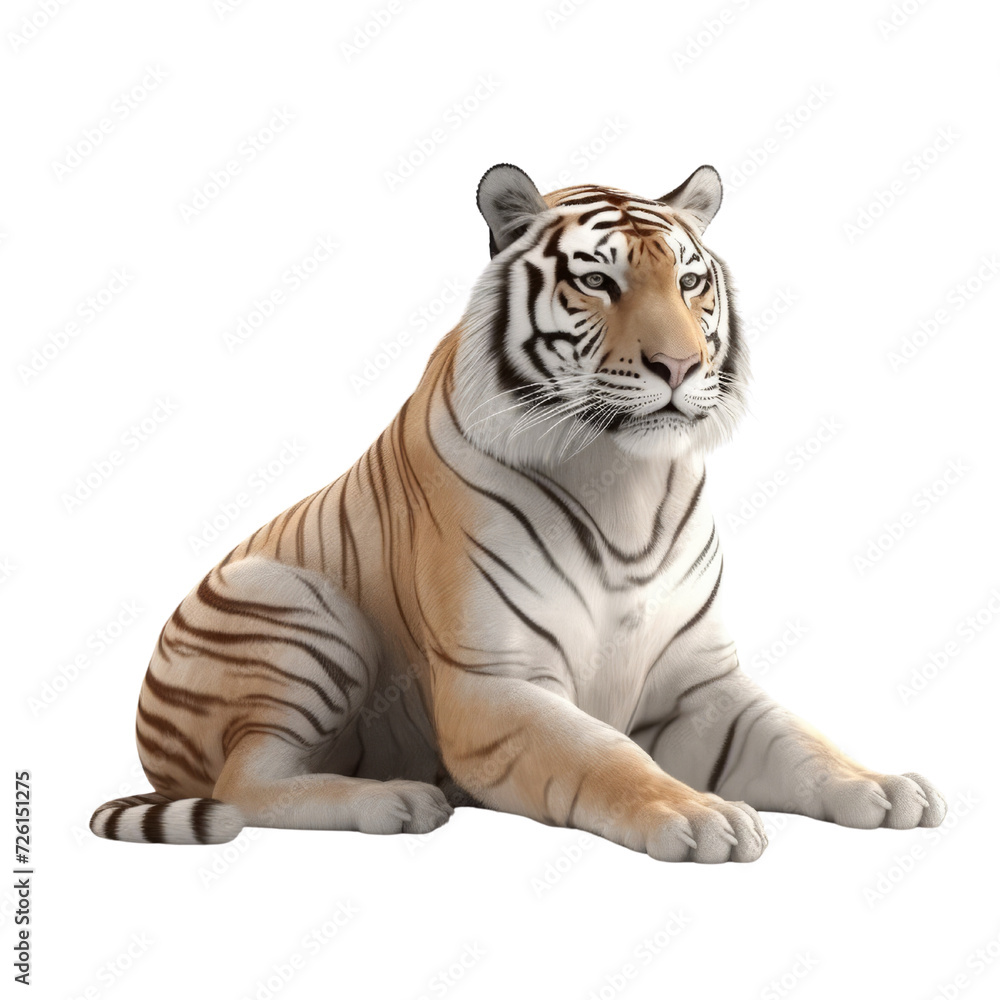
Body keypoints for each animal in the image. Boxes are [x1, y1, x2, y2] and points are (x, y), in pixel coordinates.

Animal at [90, 163, 946, 861]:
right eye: (598, 284)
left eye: (690, 283)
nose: (680, 365)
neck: (627, 476)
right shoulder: (495, 685)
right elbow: (605, 756)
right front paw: (700, 814)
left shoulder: (698, 684)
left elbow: (800, 739)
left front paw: (884, 786)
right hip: (290, 602)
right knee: (242, 783)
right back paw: (396, 801)